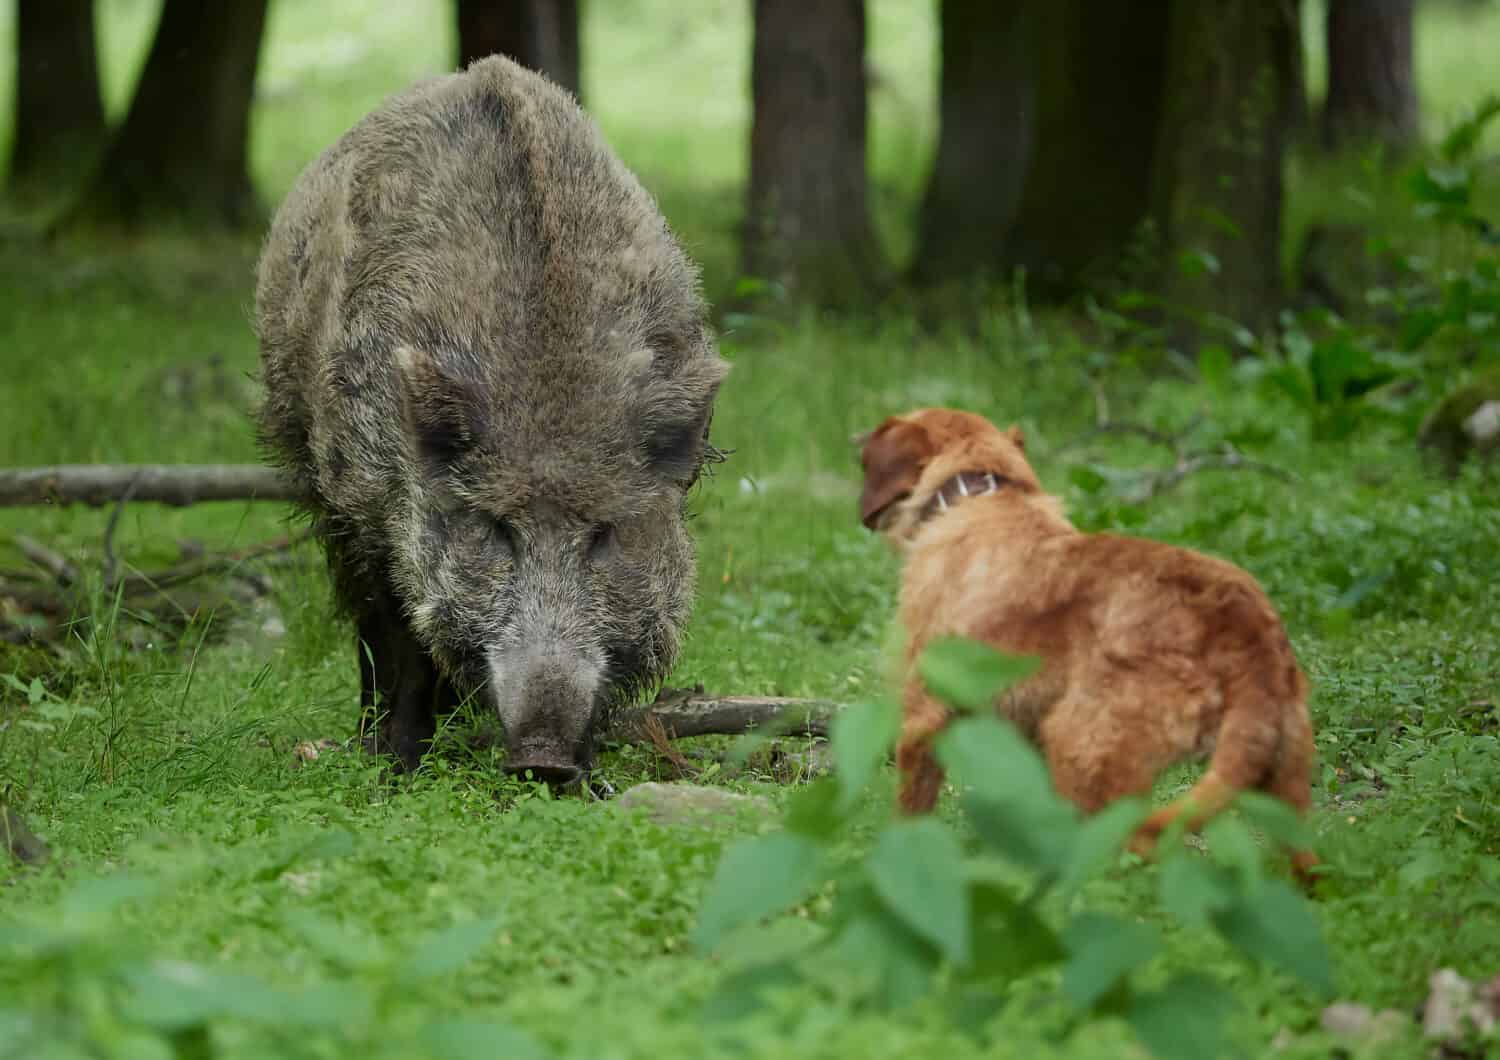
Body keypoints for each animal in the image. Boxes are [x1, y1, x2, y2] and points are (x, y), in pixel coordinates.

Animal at [864, 407, 1320, 881]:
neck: (978, 492)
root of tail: (1246, 627)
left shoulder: (923, 718)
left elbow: (910, 812)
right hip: (1284, 788)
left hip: (1081, 753)